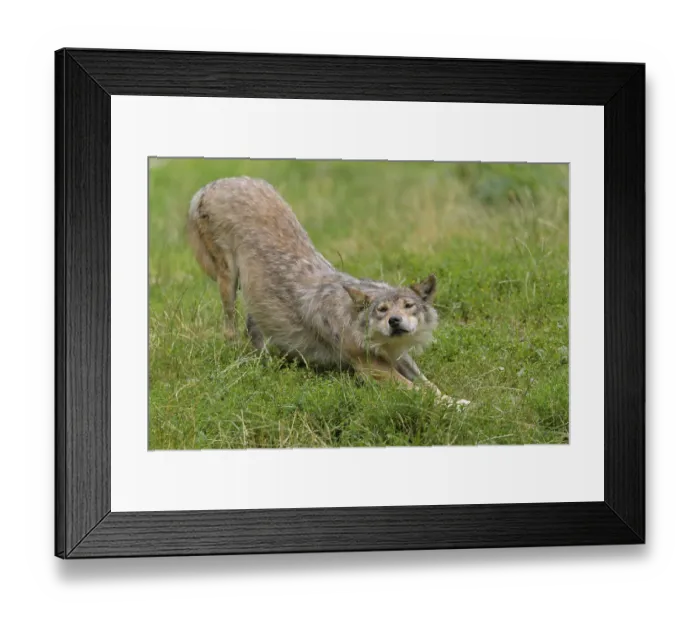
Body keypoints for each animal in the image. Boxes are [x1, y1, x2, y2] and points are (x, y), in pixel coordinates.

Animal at [187, 176, 469, 409]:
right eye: (382, 310)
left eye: (409, 306)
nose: (394, 321)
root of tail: (212, 184)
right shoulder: (371, 368)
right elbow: (418, 391)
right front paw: (454, 407)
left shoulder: (398, 357)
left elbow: (430, 384)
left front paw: (457, 401)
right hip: (228, 282)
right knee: (229, 329)